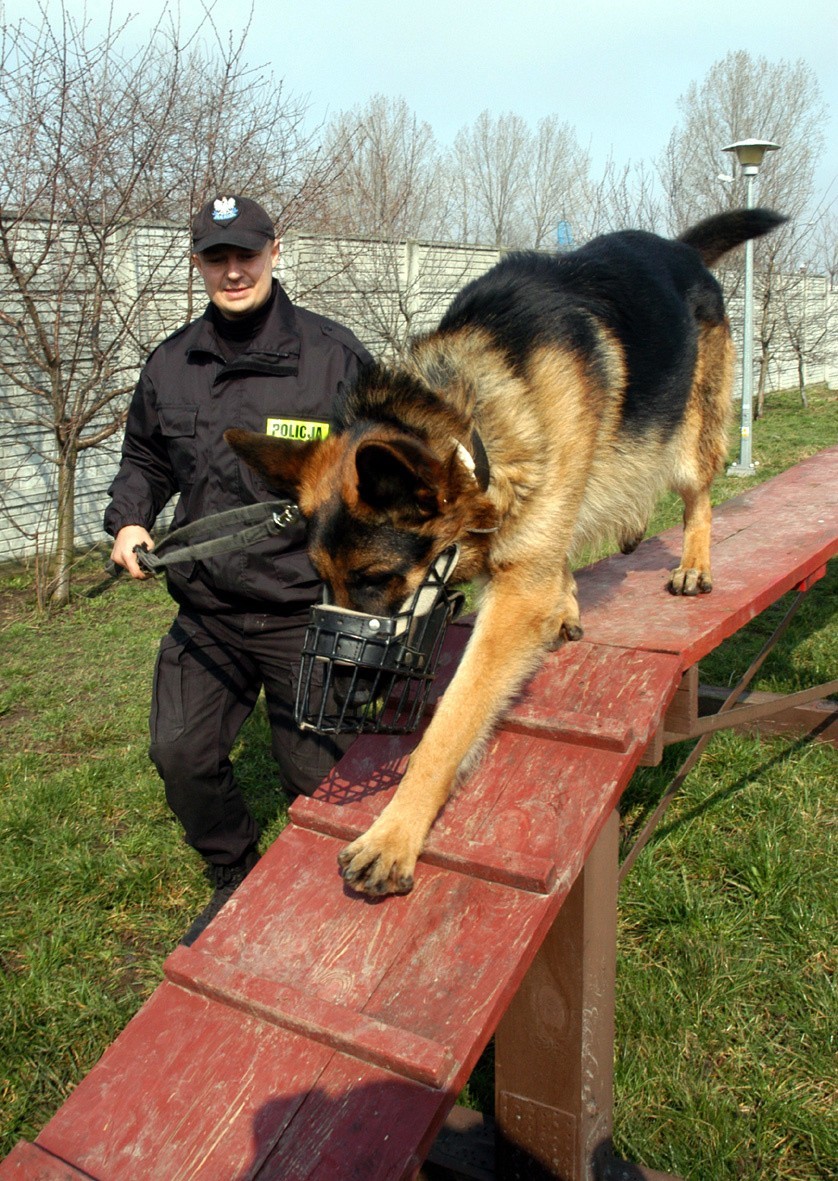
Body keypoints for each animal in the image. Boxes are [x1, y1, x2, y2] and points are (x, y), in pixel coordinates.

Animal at [225, 210, 788, 892]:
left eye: (376, 577)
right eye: (321, 580)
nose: (334, 692)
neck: (474, 429)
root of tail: (677, 249)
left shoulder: (514, 595)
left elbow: (450, 722)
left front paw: (394, 834)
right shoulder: (530, 549)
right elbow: (551, 561)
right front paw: (566, 605)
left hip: (687, 434)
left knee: (697, 493)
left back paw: (694, 565)